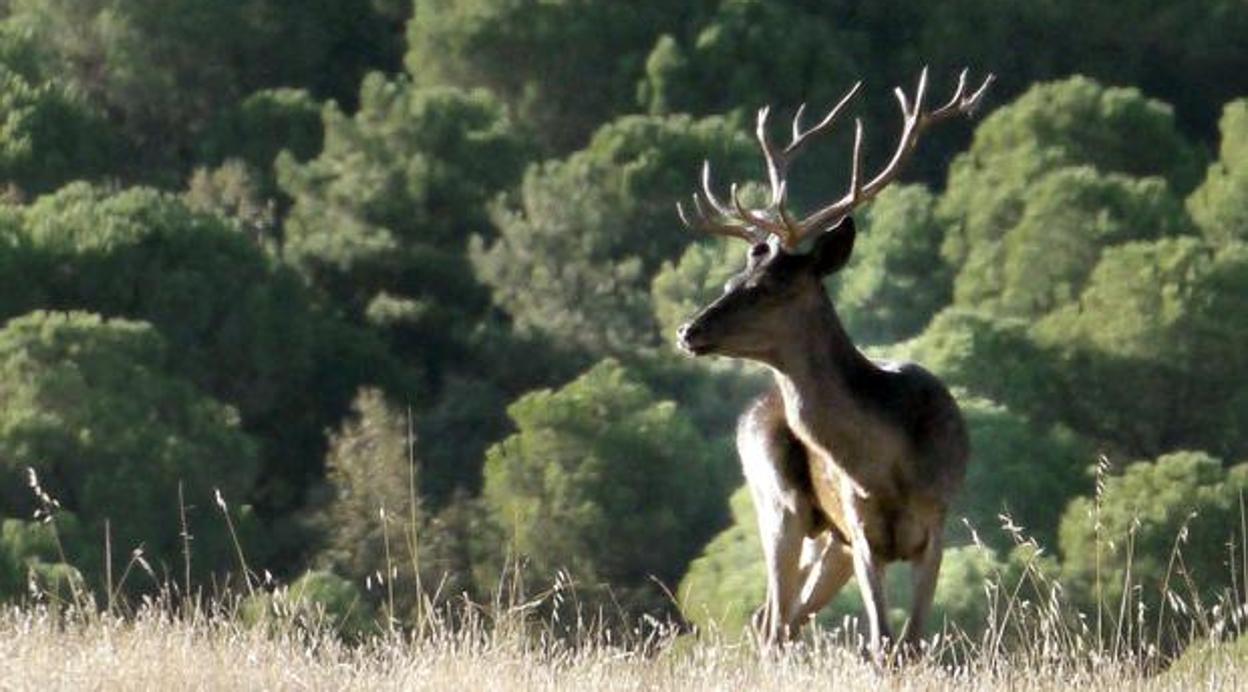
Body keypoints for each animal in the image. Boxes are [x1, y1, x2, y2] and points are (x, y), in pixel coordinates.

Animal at [678, 69, 988, 659]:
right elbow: (883, 643)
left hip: (827, 542)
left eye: (767, 287)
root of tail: (754, 408)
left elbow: (911, 643)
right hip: (778, 503)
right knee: (773, 621)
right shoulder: (861, 531)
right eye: (732, 280)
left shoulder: (935, 524)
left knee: (779, 619)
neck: (890, 466)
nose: (688, 330)